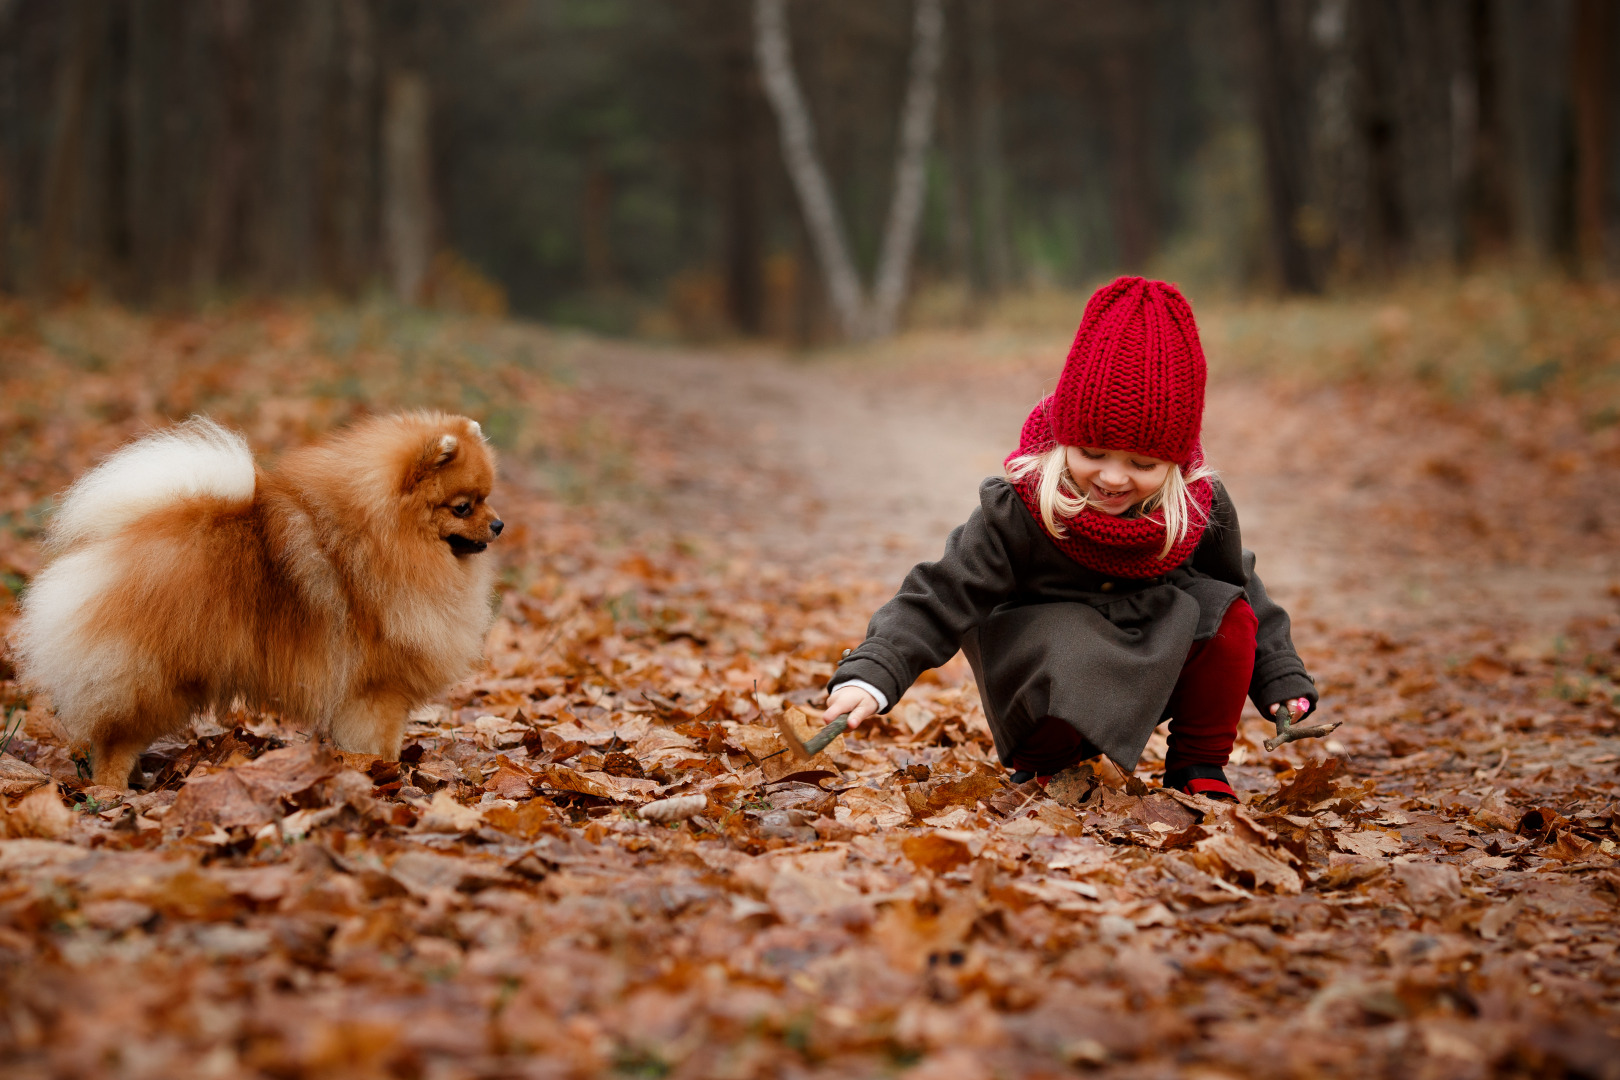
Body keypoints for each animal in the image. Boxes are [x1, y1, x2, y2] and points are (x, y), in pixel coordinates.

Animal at [12, 414, 502, 786]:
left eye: (488, 498)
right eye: (463, 506)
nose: (499, 524)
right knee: (116, 738)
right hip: (154, 676)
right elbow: (380, 743)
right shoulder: (376, 690)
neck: (386, 539)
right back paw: (111, 789)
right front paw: (385, 774)